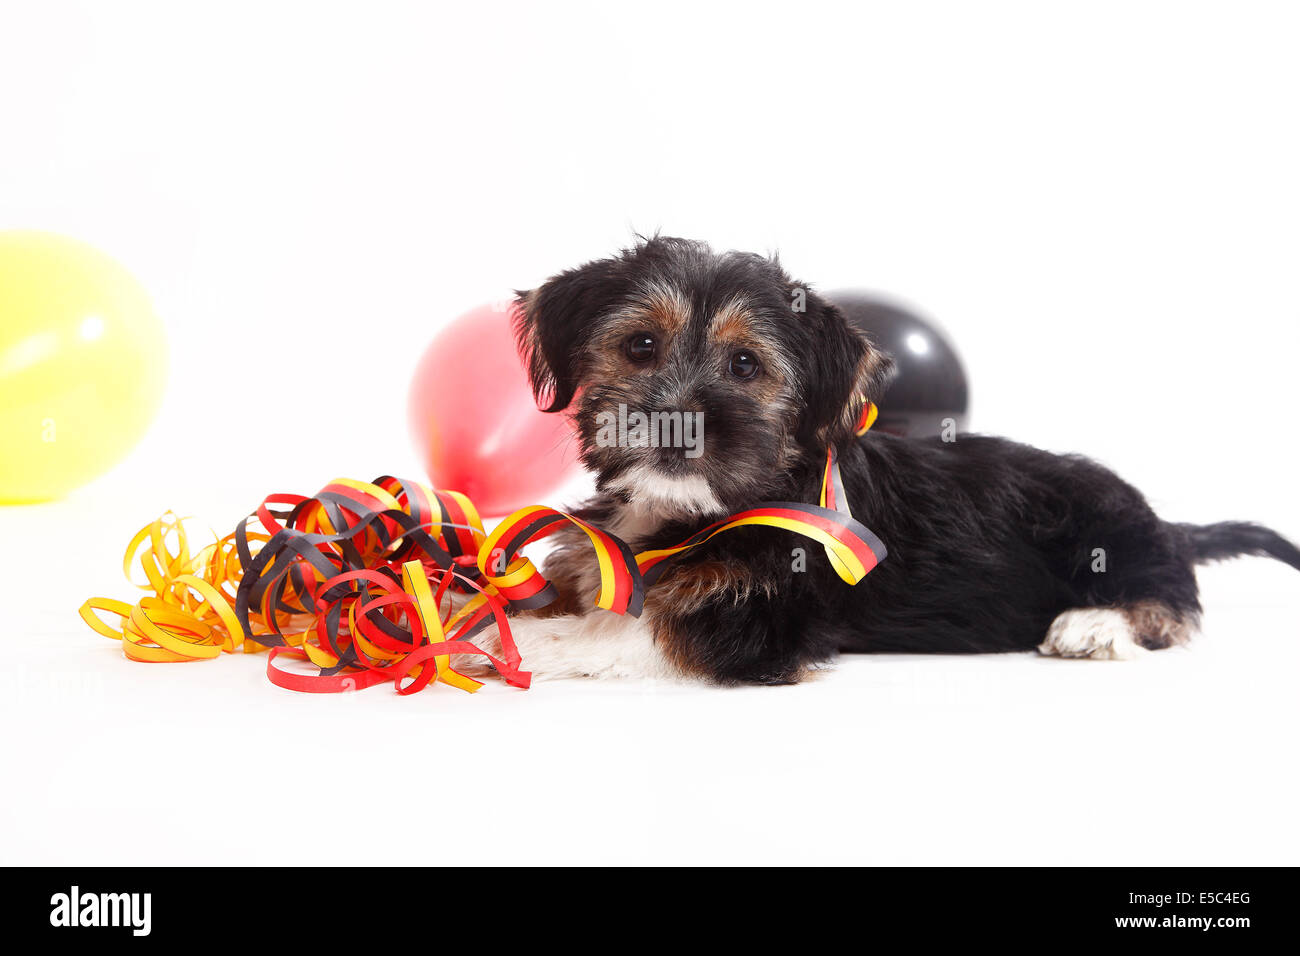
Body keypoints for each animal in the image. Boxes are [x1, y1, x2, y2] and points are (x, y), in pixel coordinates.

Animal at [467, 239, 1300, 686]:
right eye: (640, 345)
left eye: (745, 365)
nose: (678, 424)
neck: (691, 509)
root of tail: (1167, 522)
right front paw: (487, 612)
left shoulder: (764, 621)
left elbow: (629, 631)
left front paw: (515, 644)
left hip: (1110, 526)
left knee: (1173, 601)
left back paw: (1093, 624)